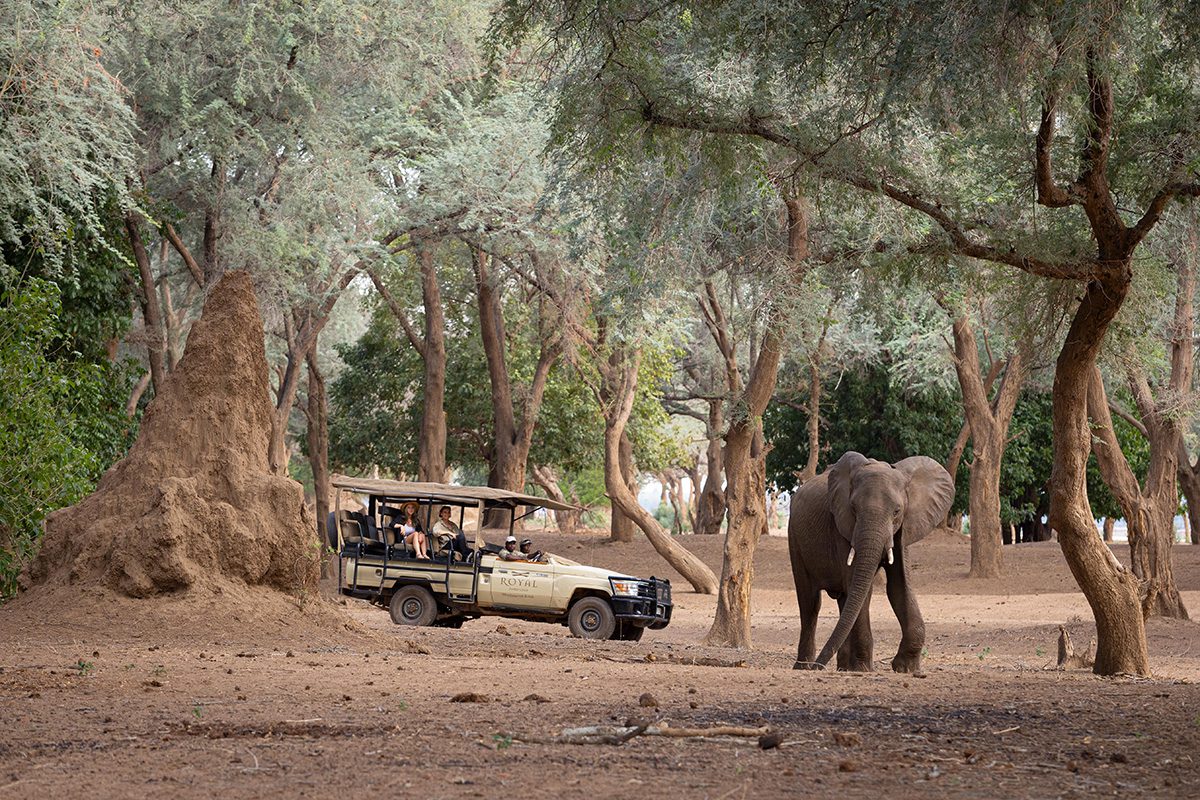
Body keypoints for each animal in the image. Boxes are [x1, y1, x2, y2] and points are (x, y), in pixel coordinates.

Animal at [788, 451, 954, 673]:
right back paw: (804, 667)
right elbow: (861, 590)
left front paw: (906, 668)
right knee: (810, 602)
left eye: (897, 511)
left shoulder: (903, 531)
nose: (819, 667)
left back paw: (842, 667)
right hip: (794, 537)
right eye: (853, 509)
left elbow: (899, 586)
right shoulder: (842, 527)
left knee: (843, 600)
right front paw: (863, 669)